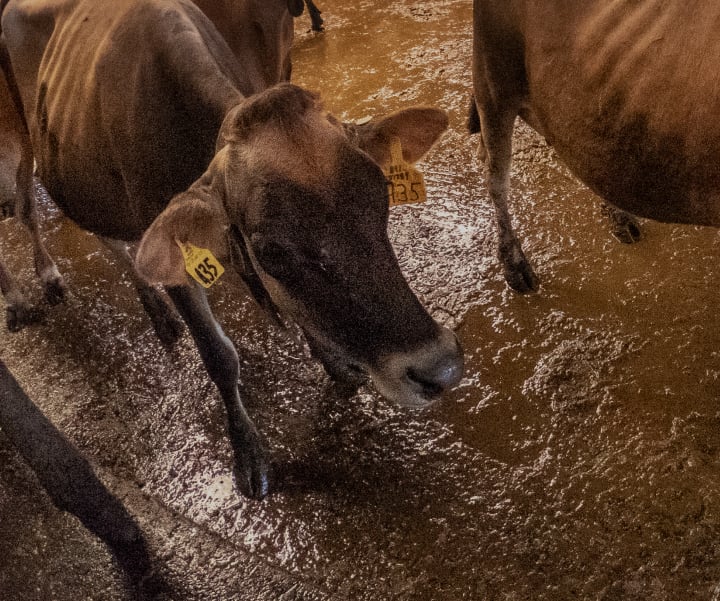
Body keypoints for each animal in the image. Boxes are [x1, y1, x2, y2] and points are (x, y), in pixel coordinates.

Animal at [2, 0, 464, 496]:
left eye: (382, 199)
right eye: (272, 251)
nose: (441, 369)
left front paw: (335, 363)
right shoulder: (177, 262)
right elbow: (219, 357)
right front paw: (248, 454)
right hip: (28, 149)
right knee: (56, 220)